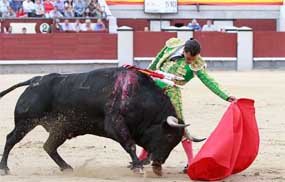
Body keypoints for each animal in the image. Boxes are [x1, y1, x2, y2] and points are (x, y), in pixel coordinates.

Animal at [0, 67, 193, 176]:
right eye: (169, 137)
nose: (159, 162)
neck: (139, 96)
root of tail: (34, 81)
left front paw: (137, 164)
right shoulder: (115, 123)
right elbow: (130, 145)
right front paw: (137, 166)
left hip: (61, 128)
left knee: (49, 146)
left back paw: (66, 167)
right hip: (26, 122)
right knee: (11, 139)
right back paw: (4, 168)